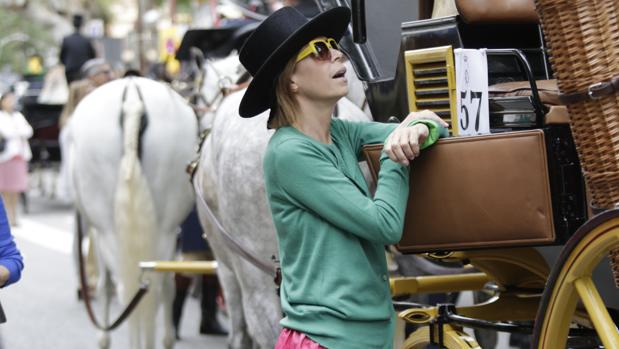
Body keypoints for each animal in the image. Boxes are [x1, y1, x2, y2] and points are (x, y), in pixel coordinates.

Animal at [69, 77, 199, 346]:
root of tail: (132, 99)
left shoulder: (99, 233)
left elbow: (106, 287)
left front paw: (104, 339)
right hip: (164, 229)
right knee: (156, 288)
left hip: (110, 232)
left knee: (127, 290)